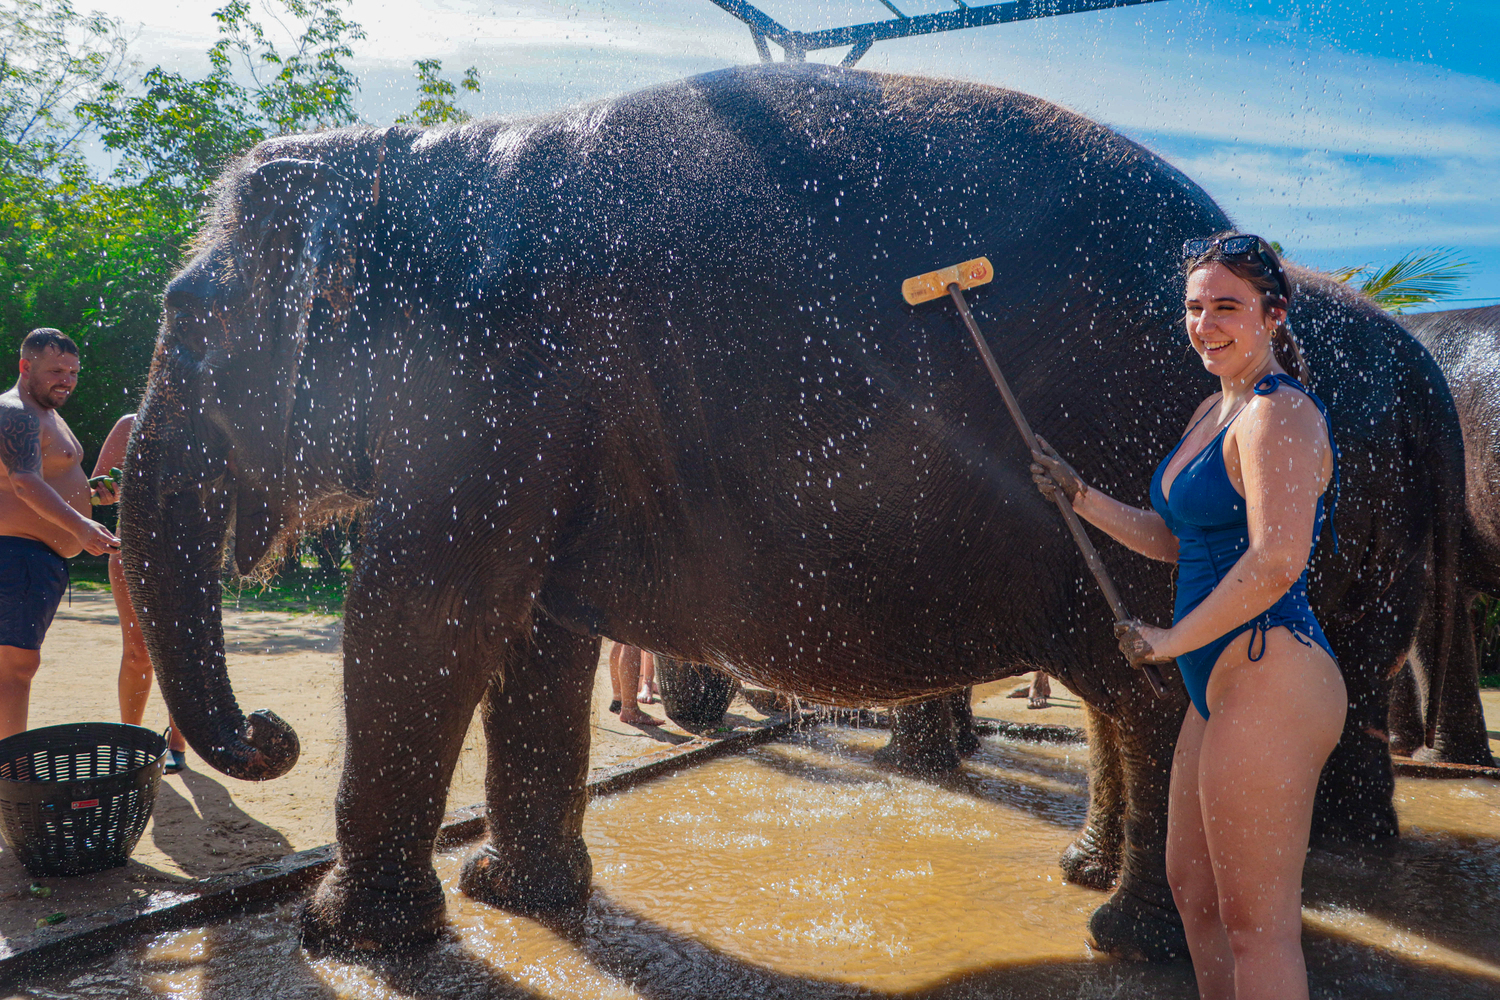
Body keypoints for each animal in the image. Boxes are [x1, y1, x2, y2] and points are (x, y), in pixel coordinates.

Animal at [120, 64, 1464, 960]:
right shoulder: (533, 427)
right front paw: (521, 901)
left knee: (1156, 698)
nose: (267, 735)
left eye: (191, 318)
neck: (412, 157)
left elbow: (420, 619)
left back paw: (1139, 939)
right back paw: (1115, 887)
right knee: (1131, 694)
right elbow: (536, 639)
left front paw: (347, 941)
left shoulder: (489, 388)